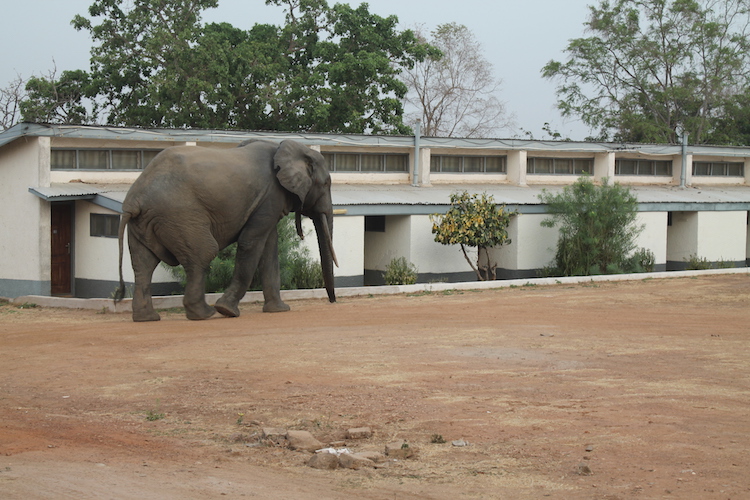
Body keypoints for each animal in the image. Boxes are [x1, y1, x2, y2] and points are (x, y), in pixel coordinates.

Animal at [114, 139, 338, 322]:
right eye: (326, 183)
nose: (333, 302)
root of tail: (135, 199)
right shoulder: (270, 195)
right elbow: (251, 242)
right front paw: (227, 311)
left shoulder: (267, 201)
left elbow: (269, 249)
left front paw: (279, 310)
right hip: (179, 215)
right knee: (203, 254)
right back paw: (205, 314)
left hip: (146, 221)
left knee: (143, 264)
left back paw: (147, 318)